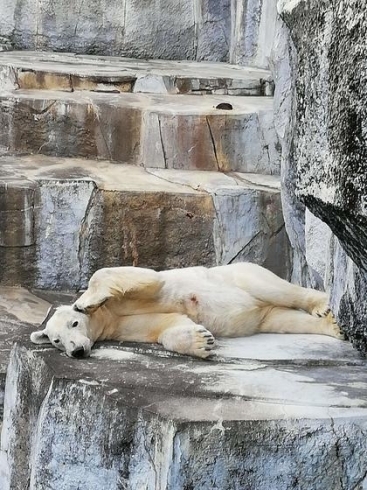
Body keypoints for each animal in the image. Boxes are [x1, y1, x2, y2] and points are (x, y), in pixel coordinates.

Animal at [30, 262, 344, 358]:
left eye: (74, 323)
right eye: (56, 341)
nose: (76, 351)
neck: (107, 319)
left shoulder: (130, 297)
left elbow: (145, 278)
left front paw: (85, 300)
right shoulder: (120, 326)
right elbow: (166, 325)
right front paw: (201, 342)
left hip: (241, 275)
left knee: (276, 289)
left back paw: (322, 304)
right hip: (262, 315)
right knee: (280, 319)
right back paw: (331, 326)